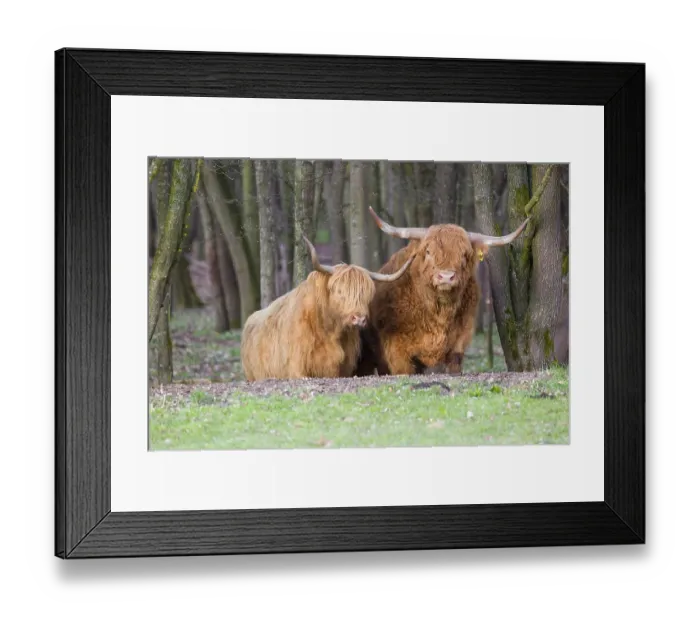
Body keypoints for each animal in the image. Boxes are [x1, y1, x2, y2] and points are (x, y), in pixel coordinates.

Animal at [354, 207, 529, 377]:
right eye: (428, 252)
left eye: (464, 255)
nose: (446, 276)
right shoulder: (396, 349)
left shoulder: (461, 337)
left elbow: (455, 363)